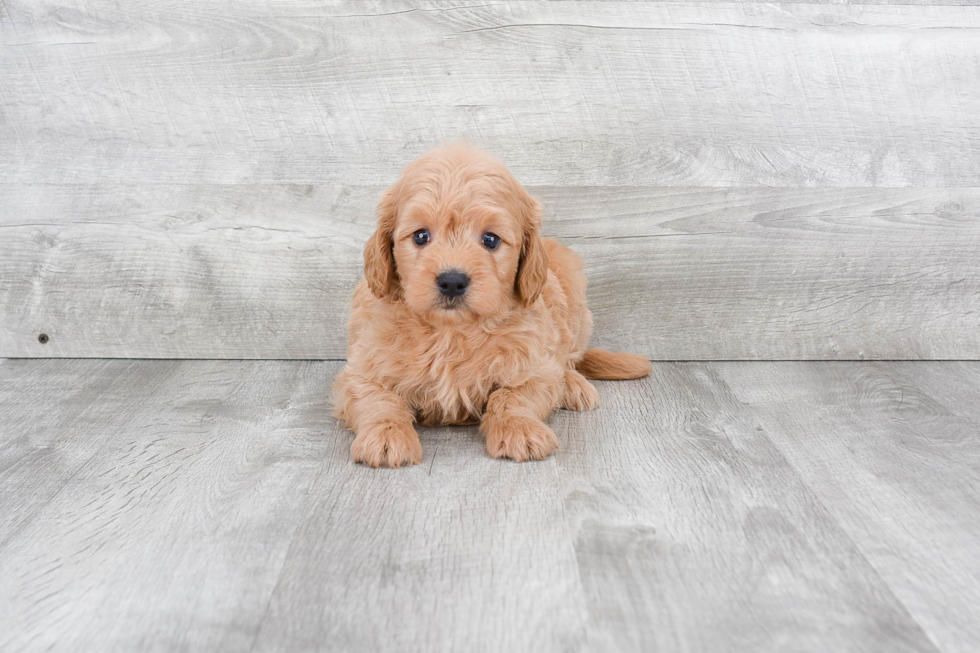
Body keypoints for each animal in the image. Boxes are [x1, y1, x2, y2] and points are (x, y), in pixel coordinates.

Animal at [332, 145, 652, 466]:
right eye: (421, 235)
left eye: (490, 240)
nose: (452, 281)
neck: (451, 332)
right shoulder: (361, 369)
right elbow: (379, 399)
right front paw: (386, 435)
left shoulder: (535, 366)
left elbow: (512, 395)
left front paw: (520, 428)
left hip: (573, 294)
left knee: (570, 358)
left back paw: (573, 385)